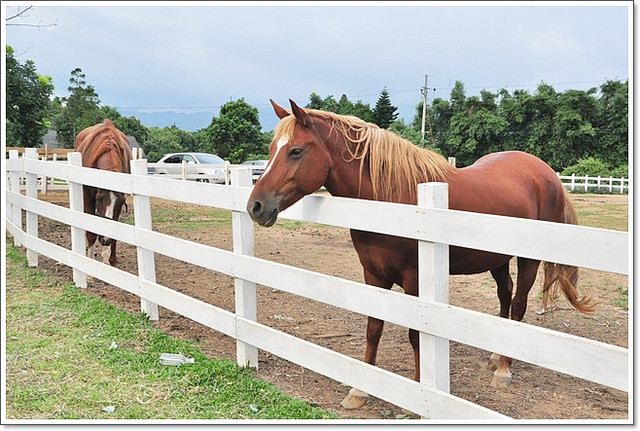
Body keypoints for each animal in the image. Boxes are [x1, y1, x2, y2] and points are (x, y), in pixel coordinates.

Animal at [74, 118, 131, 266]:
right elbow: (91, 233)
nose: (105, 239)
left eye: (122, 202)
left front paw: (110, 260)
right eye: (98, 199)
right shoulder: (88, 195)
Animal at [246, 99, 596, 410]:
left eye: (295, 151)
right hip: (495, 259)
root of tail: (547, 173)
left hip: (528, 260)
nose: (256, 206)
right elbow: (373, 328)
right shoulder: (374, 275)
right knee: (505, 296)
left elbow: (416, 335)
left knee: (520, 303)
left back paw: (504, 370)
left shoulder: (414, 280)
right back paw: (496, 355)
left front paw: (418, 391)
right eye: (271, 150)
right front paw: (359, 391)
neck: (392, 198)